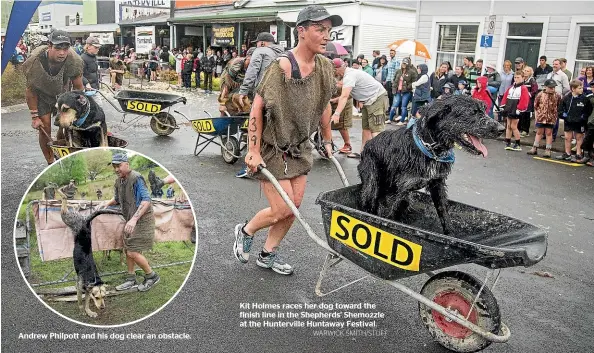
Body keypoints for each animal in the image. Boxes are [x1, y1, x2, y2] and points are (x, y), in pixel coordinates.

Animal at [358, 95, 502, 235]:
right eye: (473, 112)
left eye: (484, 110)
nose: (501, 129)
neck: (429, 149)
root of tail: (367, 145)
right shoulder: (405, 186)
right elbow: (398, 208)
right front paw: (387, 223)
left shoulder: (437, 184)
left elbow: (443, 212)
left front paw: (450, 235)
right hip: (372, 182)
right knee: (369, 200)